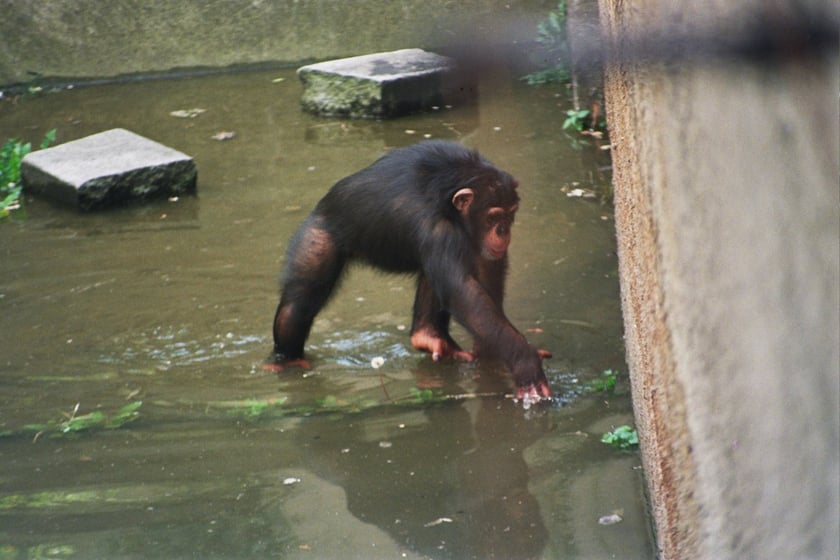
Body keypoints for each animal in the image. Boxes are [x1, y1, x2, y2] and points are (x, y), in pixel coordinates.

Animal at [272, 140, 556, 402]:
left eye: (510, 215)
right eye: (492, 217)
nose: (503, 231)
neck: (451, 205)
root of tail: (320, 208)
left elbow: (485, 270)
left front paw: (488, 353)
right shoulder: (439, 230)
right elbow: (463, 292)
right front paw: (525, 362)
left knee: (432, 274)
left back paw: (427, 334)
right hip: (318, 237)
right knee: (299, 304)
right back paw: (286, 360)